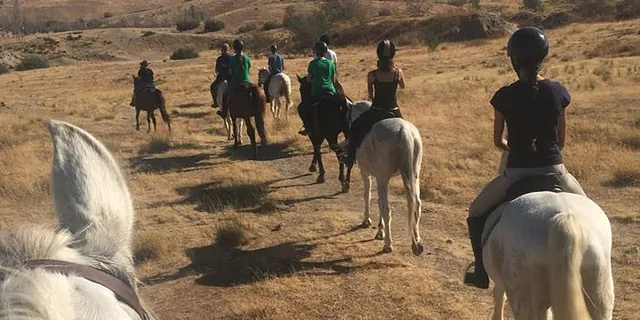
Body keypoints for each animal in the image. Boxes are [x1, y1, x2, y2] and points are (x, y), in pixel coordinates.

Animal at [340, 101, 424, 256]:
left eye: (348, 117)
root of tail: (403, 132)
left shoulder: (367, 174)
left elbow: (367, 195)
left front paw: (367, 221)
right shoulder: (380, 178)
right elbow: (378, 201)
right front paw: (380, 230)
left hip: (383, 178)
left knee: (387, 209)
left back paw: (388, 245)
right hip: (414, 175)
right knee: (416, 205)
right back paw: (417, 244)